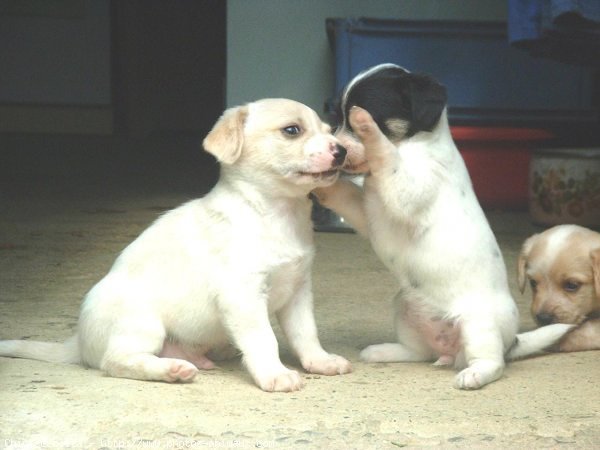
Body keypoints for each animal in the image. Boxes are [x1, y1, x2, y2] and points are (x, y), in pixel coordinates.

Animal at [0, 97, 352, 390]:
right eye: (292, 130)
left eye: (328, 130)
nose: (342, 151)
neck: (276, 214)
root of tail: (79, 343)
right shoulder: (243, 296)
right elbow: (264, 339)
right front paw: (274, 374)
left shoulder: (298, 291)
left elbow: (305, 334)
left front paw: (320, 362)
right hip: (143, 324)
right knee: (115, 362)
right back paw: (170, 370)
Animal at [314, 64, 572, 390]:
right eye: (337, 118)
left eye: (362, 116)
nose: (338, 151)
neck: (412, 145)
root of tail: (511, 340)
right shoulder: (367, 211)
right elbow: (345, 194)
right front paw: (322, 183)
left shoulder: (408, 189)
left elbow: (385, 154)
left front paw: (368, 127)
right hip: (405, 305)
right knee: (420, 352)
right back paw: (383, 351)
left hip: (478, 325)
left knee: (494, 363)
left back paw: (474, 374)